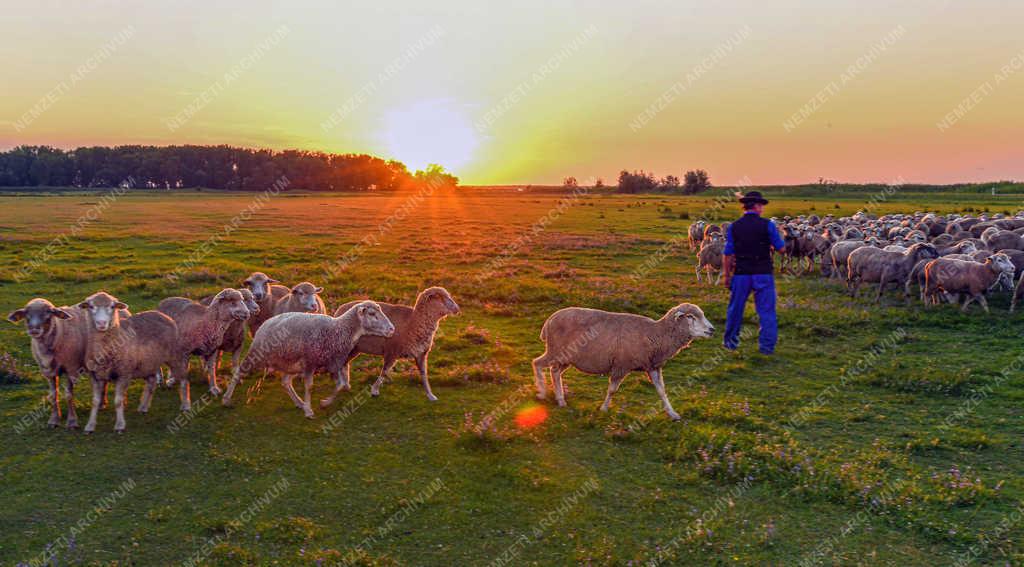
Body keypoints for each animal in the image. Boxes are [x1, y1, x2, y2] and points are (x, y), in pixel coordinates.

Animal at [77, 290, 190, 431]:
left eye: (112, 307)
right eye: (91, 306)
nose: (102, 323)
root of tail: (162, 314)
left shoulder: (124, 373)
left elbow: (118, 401)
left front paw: (120, 425)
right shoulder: (95, 376)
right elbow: (95, 402)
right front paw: (90, 426)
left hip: (174, 355)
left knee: (184, 379)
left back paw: (186, 405)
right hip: (148, 362)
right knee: (151, 382)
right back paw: (144, 407)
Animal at [222, 300, 393, 415]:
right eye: (372, 314)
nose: (392, 329)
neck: (338, 330)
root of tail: (267, 322)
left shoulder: (332, 363)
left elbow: (340, 385)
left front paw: (324, 403)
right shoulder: (311, 363)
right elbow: (309, 386)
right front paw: (309, 410)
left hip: (290, 363)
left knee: (285, 382)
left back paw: (299, 402)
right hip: (257, 354)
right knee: (238, 372)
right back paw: (226, 399)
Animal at [331, 286, 460, 401]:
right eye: (440, 297)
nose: (457, 309)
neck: (412, 323)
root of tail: (340, 309)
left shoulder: (421, 354)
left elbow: (424, 375)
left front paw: (430, 395)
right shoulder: (391, 351)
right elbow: (384, 371)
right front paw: (374, 390)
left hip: (355, 349)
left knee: (345, 363)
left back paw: (346, 384)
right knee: (340, 362)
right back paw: (342, 383)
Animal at [532, 300, 716, 419]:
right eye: (690, 317)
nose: (712, 330)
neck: (656, 334)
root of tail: (549, 320)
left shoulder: (653, 367)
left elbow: (662, 391)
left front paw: (672, 413)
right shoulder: (621, 365)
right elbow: (612, 390)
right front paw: (604, 408)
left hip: (566, 358)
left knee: (555, 372)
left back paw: (560, 400)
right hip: (556, 351)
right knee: (537, 363)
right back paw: (542, 393)